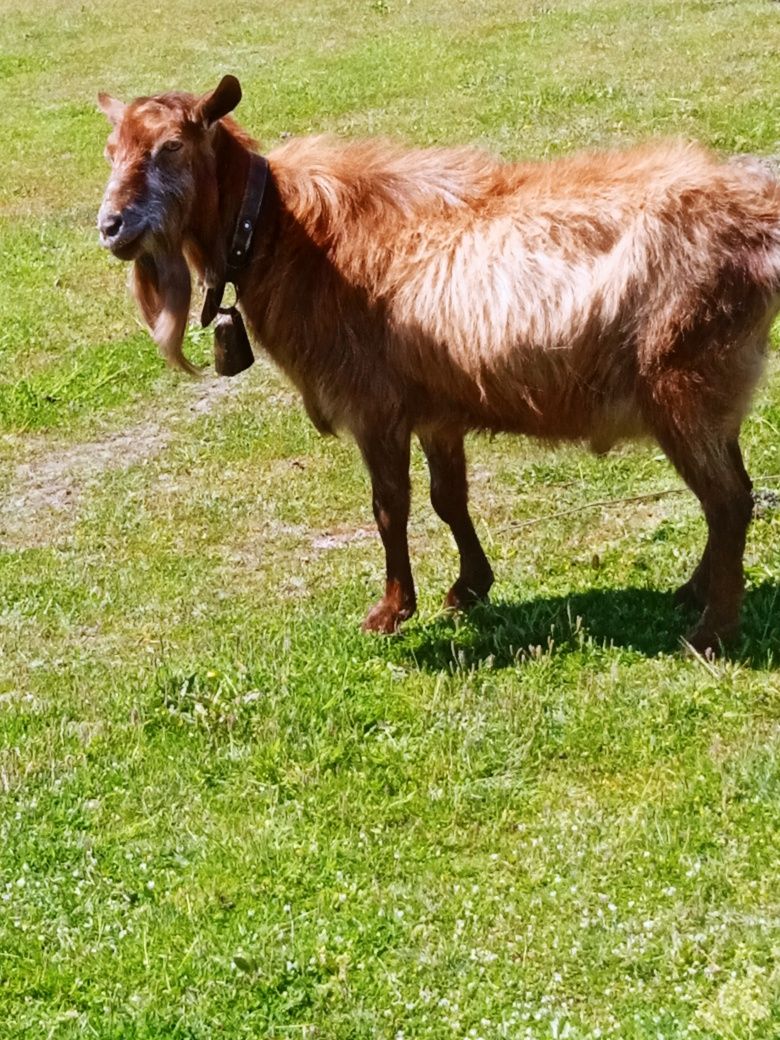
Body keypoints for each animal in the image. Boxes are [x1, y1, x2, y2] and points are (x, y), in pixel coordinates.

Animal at [97, 75, 780, 648]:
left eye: (171, 148)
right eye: (110, 150)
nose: (111, 225)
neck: (286, 235)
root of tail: (757, 225)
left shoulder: (375, 405)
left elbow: (389, 506)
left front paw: (391, 610)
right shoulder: (437, 409)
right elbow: (448, 497)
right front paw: (468, 587)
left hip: (682, 377)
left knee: (726, 500)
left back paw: (712, 631)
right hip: (714, 387)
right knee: (738, 489)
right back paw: (693, 591)